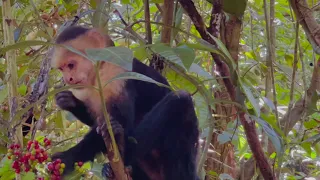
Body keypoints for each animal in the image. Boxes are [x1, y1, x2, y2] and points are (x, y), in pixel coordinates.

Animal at [51, 25, 199, 180]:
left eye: (71, 65)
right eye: (61, 69)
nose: (68, 79)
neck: (99, 70)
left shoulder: (114, 71)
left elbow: (118, 121)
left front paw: (68, 157)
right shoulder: (89, 89)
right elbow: (98, 120)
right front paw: (69, 101)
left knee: (181, 100)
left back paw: (124, 149)